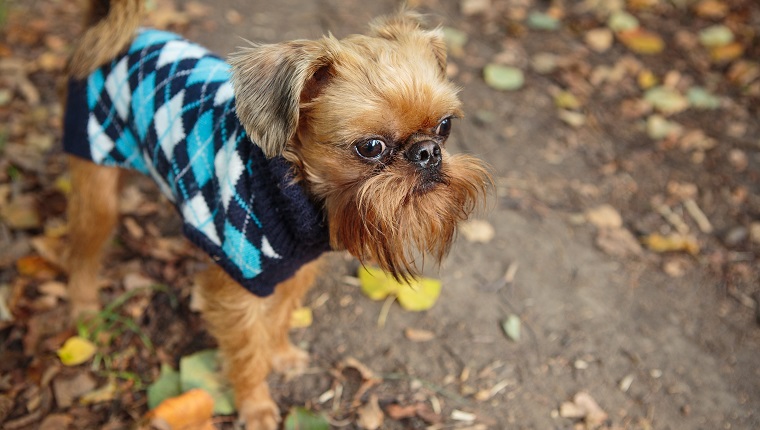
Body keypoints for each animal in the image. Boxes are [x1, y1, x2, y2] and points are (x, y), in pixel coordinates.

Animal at [63, 0, 492, 426]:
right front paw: (255, 404)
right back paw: (84, 312)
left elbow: (279, 316)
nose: (428, 152)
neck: (291, 186)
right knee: (83, 249)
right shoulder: (240, 288)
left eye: (445, 126)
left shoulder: (297, 267)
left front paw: (280, 354)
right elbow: (248, 348)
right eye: (371, 147)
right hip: (96, 176)